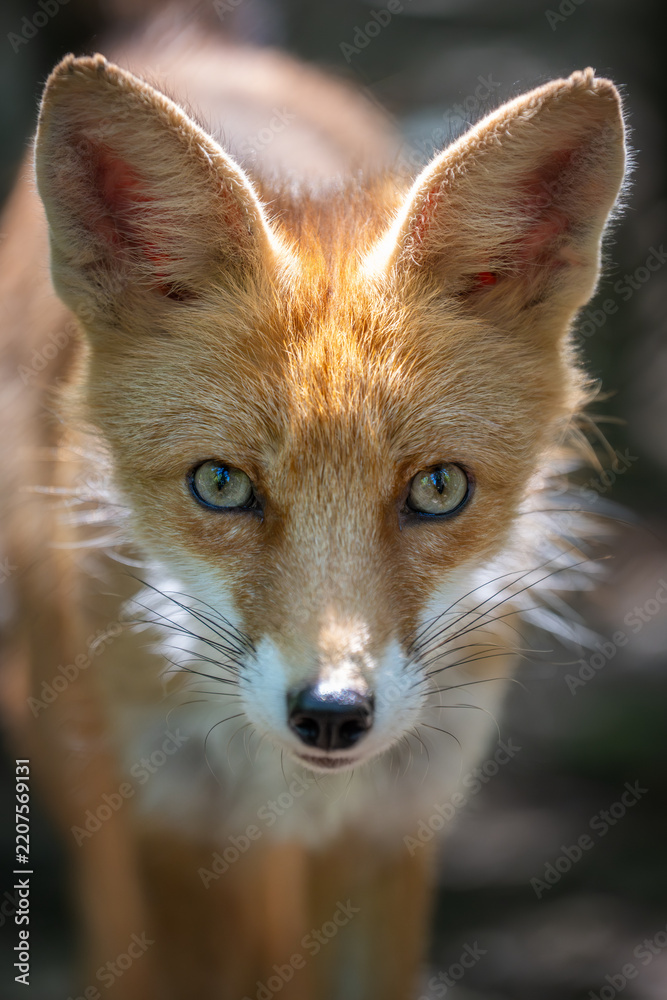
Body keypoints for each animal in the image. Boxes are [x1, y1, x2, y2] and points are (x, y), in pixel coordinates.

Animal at [0, 19, 627, 1000]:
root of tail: (193, 37)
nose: (332, 712)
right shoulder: (168, 828)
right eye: (220, 485)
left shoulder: (393, 823)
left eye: (438, 489)